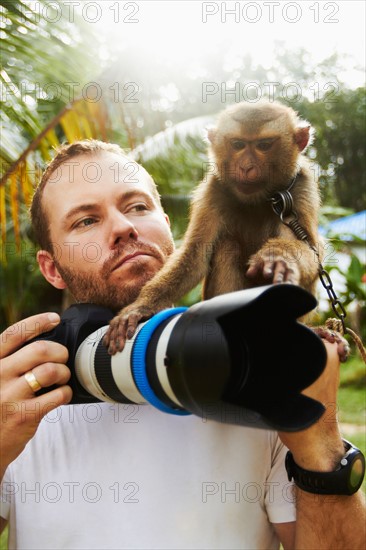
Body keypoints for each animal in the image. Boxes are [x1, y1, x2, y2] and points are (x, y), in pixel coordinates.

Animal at [105, 101, 348, 362]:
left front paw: (278, 257)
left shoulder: (300, 187)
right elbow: (195, 255)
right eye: (238, 145)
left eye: (264, 145)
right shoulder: (214, 189)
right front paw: (142, 307)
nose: (246, 167)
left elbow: (313, 252)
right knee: (226, 246)